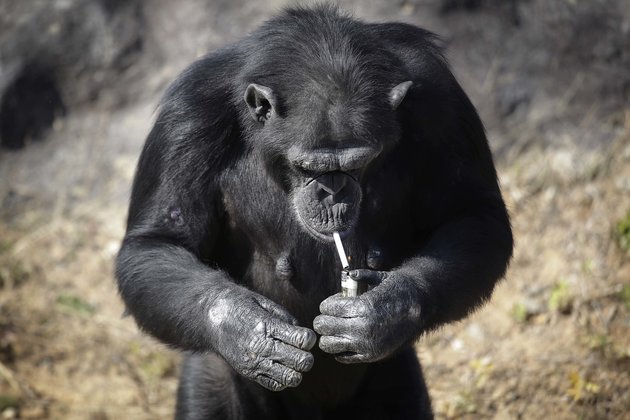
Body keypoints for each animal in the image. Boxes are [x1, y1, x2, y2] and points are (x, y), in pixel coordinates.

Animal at [116, 4, 516, 420]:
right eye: (307, 167)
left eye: (358, 163)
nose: (332, 193)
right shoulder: (187, 116)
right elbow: (157, 241)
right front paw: (249, 331)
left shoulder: (442, 100)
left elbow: (473, 213)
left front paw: (382, 312)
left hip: (396, 378)